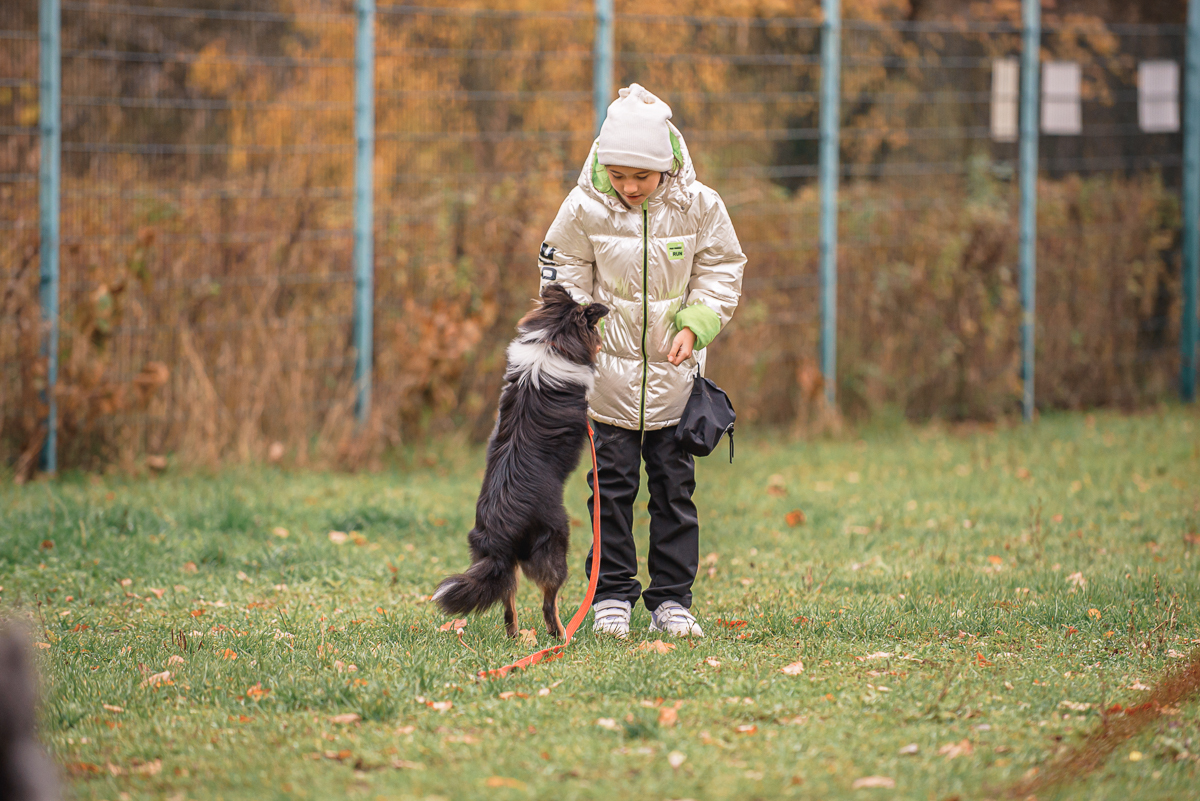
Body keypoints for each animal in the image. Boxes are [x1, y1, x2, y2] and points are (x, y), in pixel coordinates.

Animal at [432, 281, 609, 637]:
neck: (553, 339)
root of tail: (499, 536)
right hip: (555, 543)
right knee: (547, 602)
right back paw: (561, 634)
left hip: (493, 558)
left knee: (506, 599)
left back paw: (515, 635)